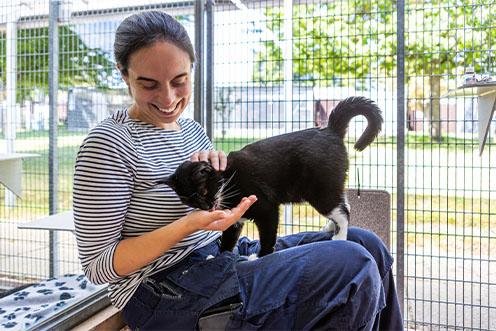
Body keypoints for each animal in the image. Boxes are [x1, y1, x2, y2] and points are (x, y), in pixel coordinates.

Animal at [163, 97, 384, 258]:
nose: (207, 207)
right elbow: (228, 239)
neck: (228, 178)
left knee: (343, 211)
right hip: (331, 185)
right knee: (344, 203)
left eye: (202, 192)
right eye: (189, 201)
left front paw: (260, 256)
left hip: (320, 189)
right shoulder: (235, 220)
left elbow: (268, 235)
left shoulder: (266, 207)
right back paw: (330, 226)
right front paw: (219, 256)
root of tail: (330, 130)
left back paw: (339, 236)